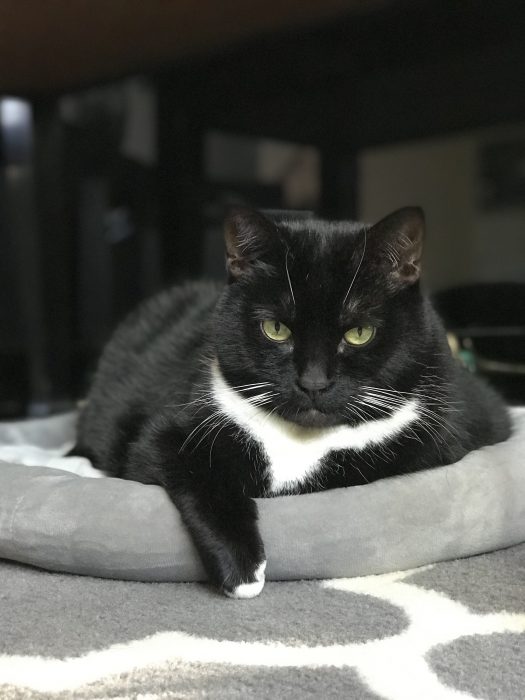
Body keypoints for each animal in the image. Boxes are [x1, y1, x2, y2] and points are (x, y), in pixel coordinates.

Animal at [71, 205, 510, 600]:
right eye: (276, 328)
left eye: (359, 333)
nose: (313, 382)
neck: (300, 442)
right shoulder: (169, 431)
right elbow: (194, 474)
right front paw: (242, 570)